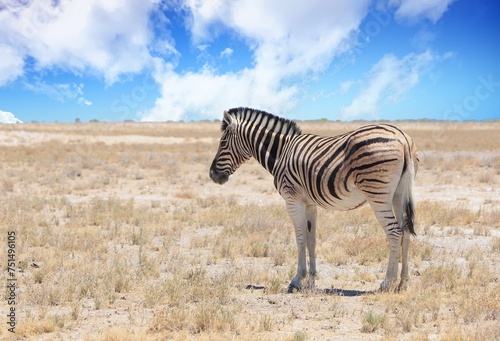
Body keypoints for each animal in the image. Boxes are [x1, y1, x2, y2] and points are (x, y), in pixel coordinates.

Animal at [208, 107, 418, 292]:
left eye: (223, 142)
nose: (212, 175)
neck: (281, 152)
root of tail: (403, 138)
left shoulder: (292, 199)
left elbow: (300, 238)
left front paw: (296, 280)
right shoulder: (310, 204)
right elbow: (312, 239)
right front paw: (311, 280)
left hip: (378, 194)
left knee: (394, 232)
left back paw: (387, 283)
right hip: (399, 194)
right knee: (406, 231)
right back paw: (403, 283)